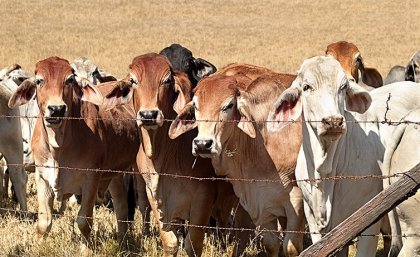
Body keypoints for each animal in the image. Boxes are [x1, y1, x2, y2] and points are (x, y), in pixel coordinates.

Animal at [7, 56, 139, 250]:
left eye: (69, 79)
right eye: (39, 81)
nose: (56, 109)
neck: (59, 146)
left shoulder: (90, 179)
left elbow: (84, 221)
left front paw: (86, 250)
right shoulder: (42, 176)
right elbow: (44, 221)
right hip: (113, 174)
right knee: (121, 203)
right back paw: (122, 241)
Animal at [168, 66, 306, 256]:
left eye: (228, 106)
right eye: (195, 105)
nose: (203, 144)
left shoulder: (297, 202)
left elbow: (291, 248)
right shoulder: (260, 202)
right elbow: (271, 244)